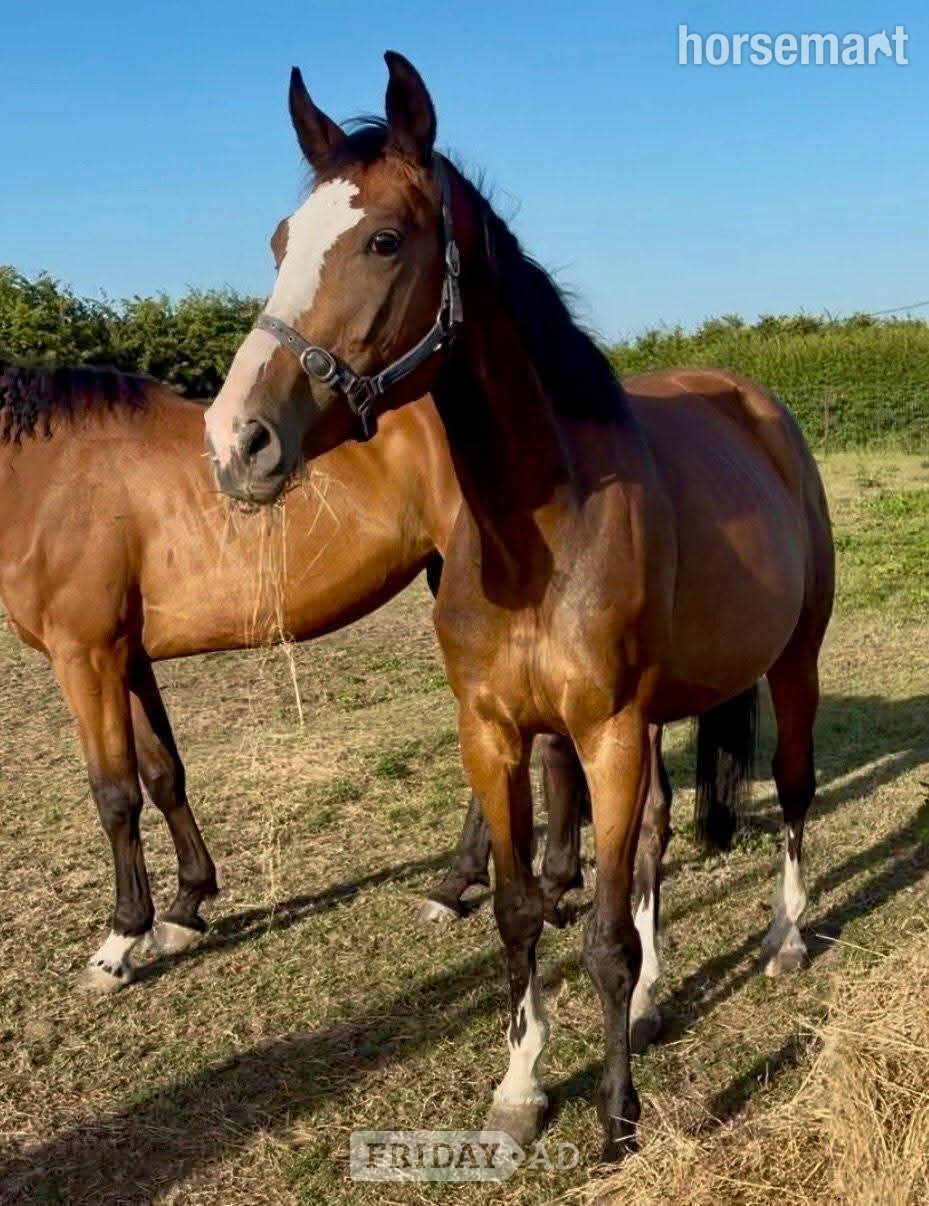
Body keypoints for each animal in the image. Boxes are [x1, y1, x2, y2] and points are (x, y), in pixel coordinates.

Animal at [203, 53, 834, 1160]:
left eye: (383, 239)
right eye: (281, 242)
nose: (237, 441)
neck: (536, 529)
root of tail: (758, 409)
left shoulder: (607, 732)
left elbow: (599, 934)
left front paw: (617, 1118)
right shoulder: (495, 733)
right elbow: (520, 911)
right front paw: (519, 1087)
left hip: (789, 660)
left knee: (793, 793)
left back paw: (784, 938)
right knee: (653, 846)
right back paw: (653, 1006)